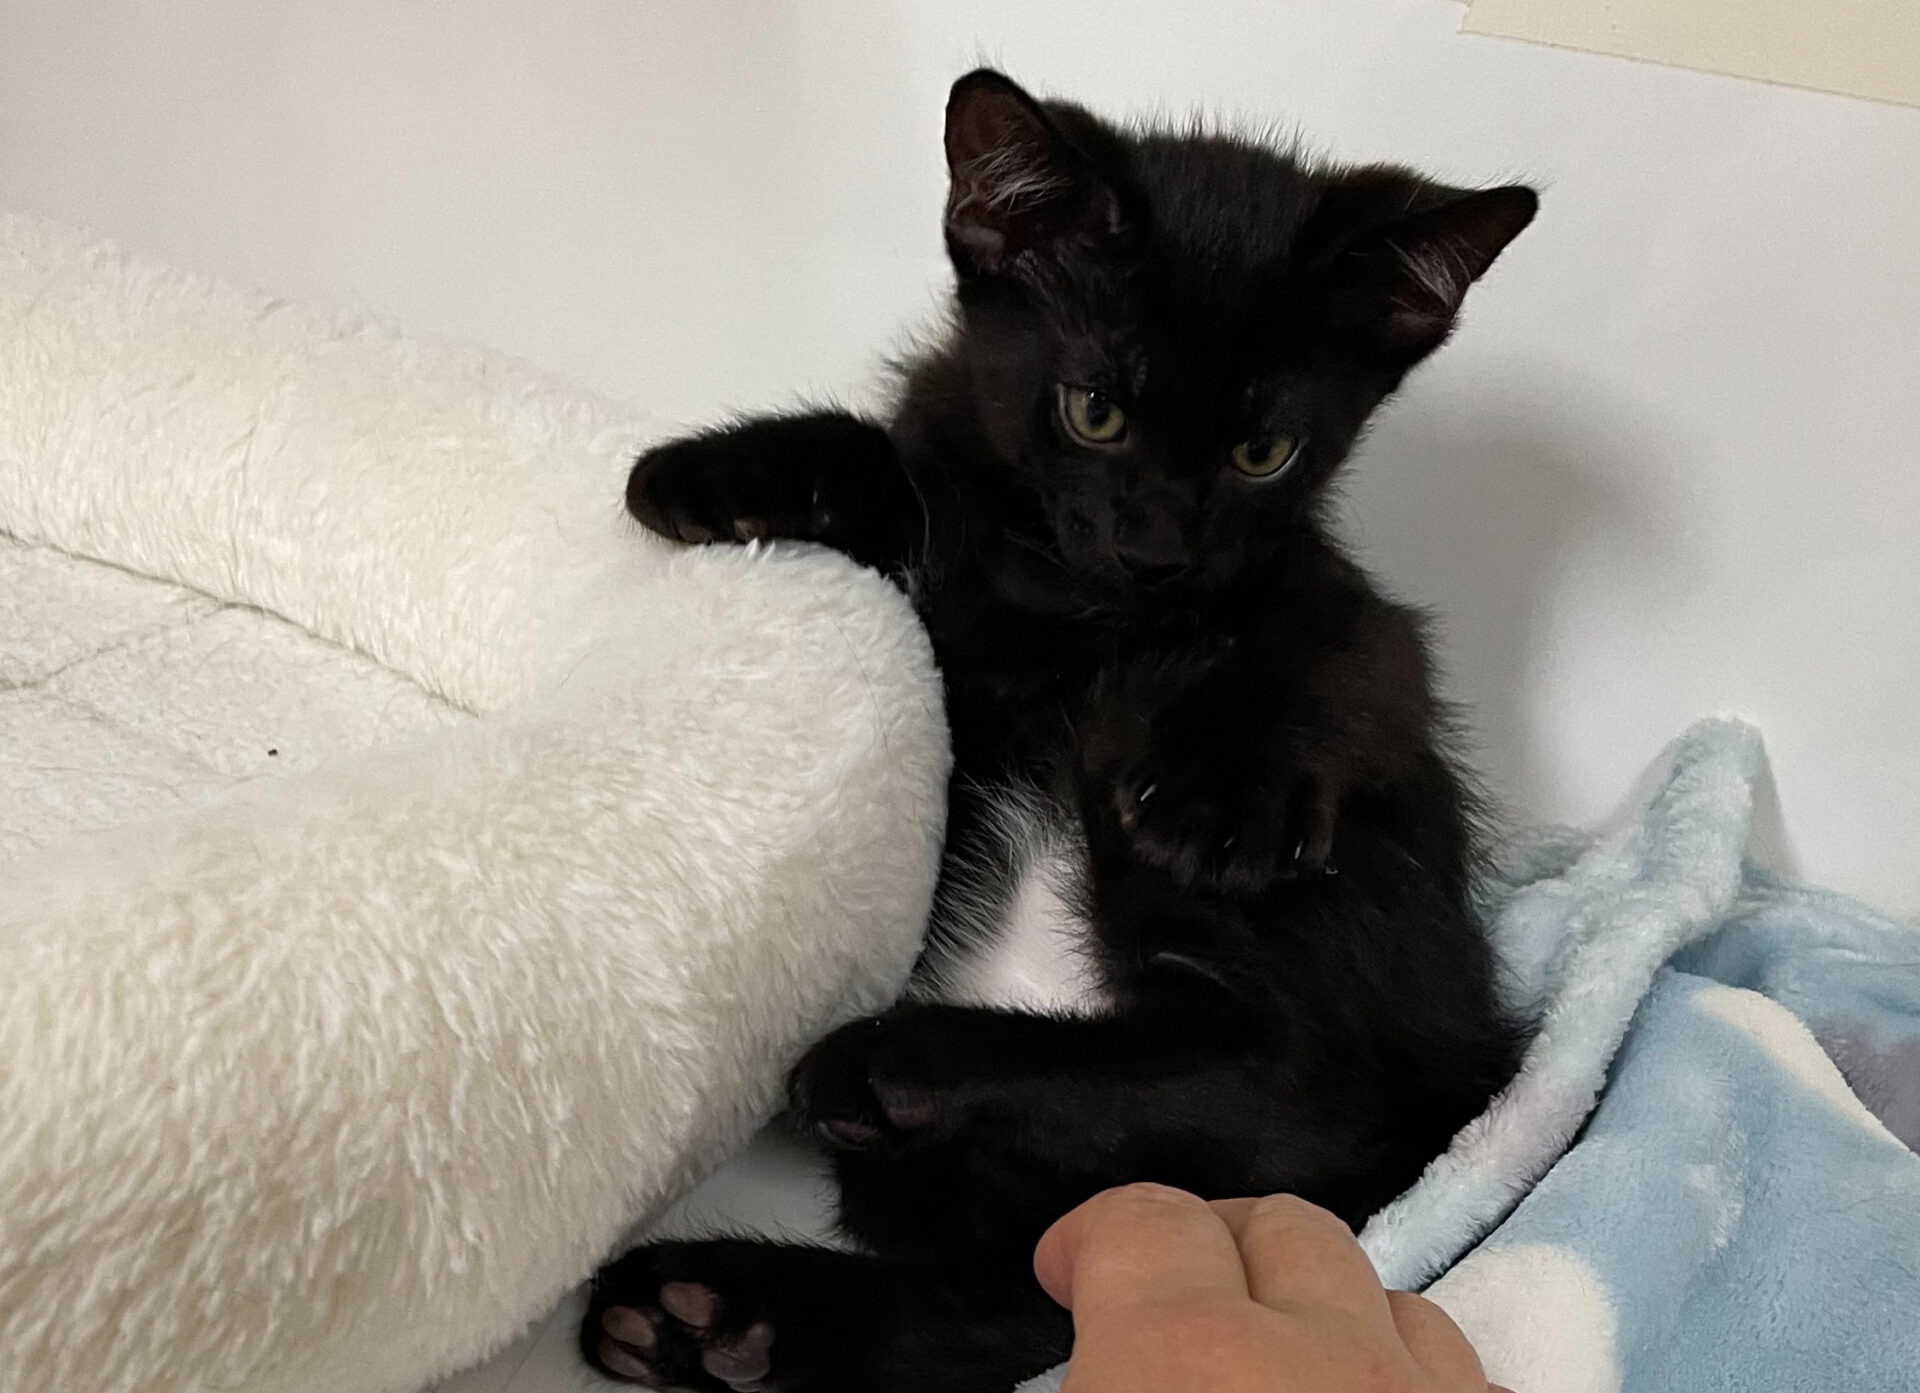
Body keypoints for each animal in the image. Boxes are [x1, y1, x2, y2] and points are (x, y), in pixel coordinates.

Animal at [582, 68, 1535, 1393]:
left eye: (1263, 450)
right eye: (1094, 412)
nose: (1158, 550)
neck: (1068, 618)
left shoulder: (1334, 604)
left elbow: (1340, 645)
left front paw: (1220, 789)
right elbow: (897, 470)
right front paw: (730, 474)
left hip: (1339, 1001)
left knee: (1269, 1077)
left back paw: (863, 1101)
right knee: (1007, 1275)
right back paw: (718, 1318)